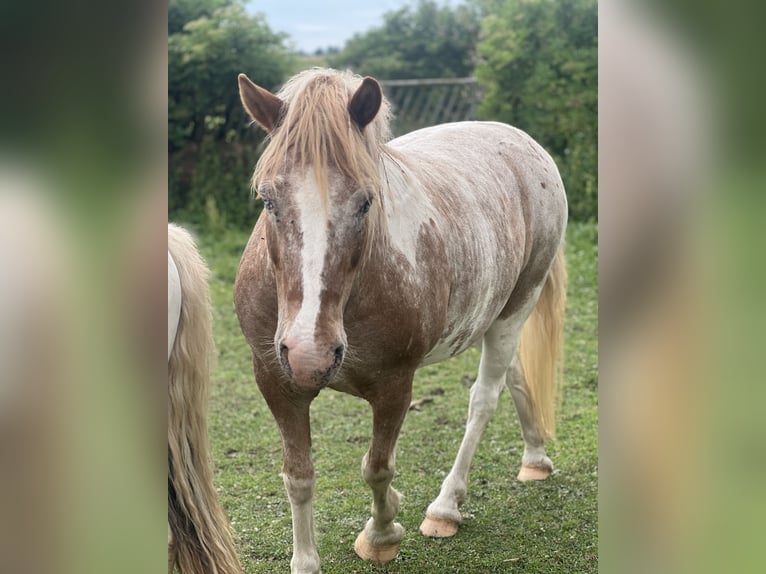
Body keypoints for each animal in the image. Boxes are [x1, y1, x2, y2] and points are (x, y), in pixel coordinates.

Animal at [234, 68, 567, 573]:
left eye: (365, 202)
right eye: (268, 199)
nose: (310, 353)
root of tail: (523, 142)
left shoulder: (395, 385)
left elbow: (377, 467)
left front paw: (382, 534)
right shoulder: (277, 381)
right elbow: (298, 475)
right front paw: (307, 559)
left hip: (516, 308)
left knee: (483, 399)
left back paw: (446, 508)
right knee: (513, 376)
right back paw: (534, 459)